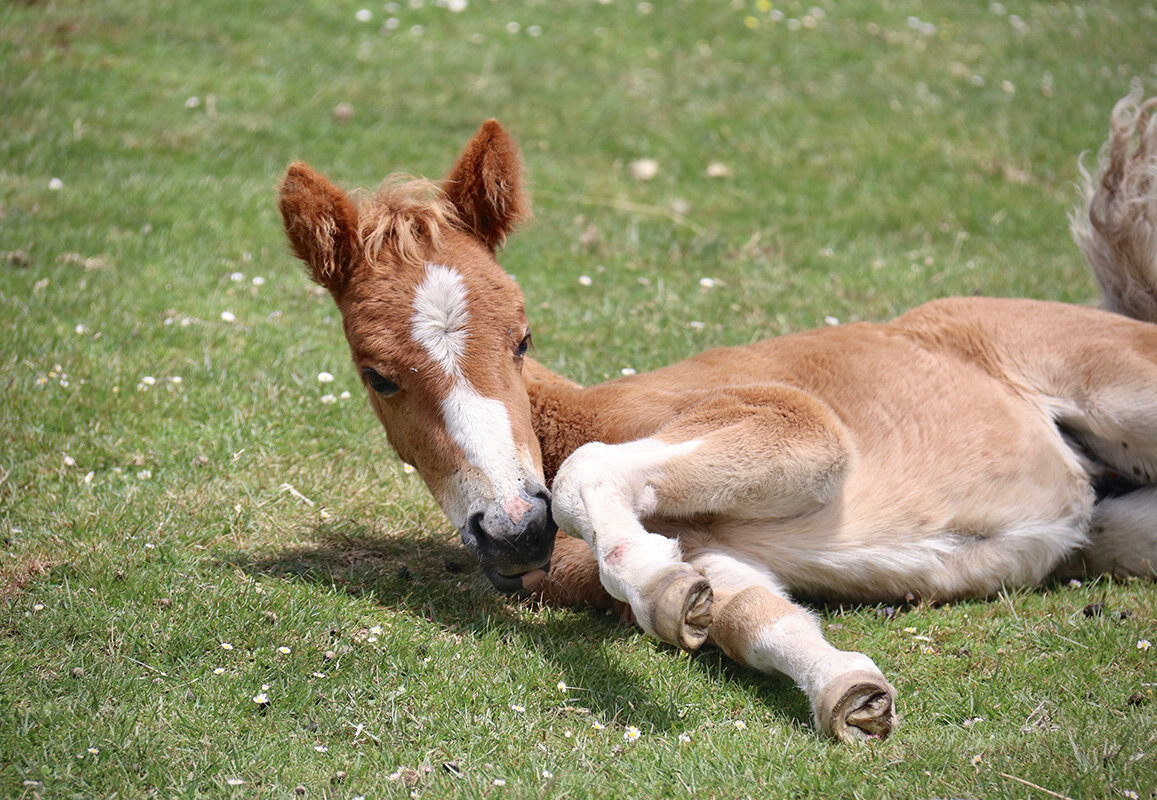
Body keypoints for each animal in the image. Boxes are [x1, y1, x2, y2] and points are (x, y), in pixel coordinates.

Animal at [279, 89, 1157, 745]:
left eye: (522, 337)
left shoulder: (794, 422)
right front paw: (844, 690)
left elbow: (591, 472)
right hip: (1117, 531)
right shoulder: (719, 558)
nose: (515, 530)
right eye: (378, 376)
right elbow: (753, 617)